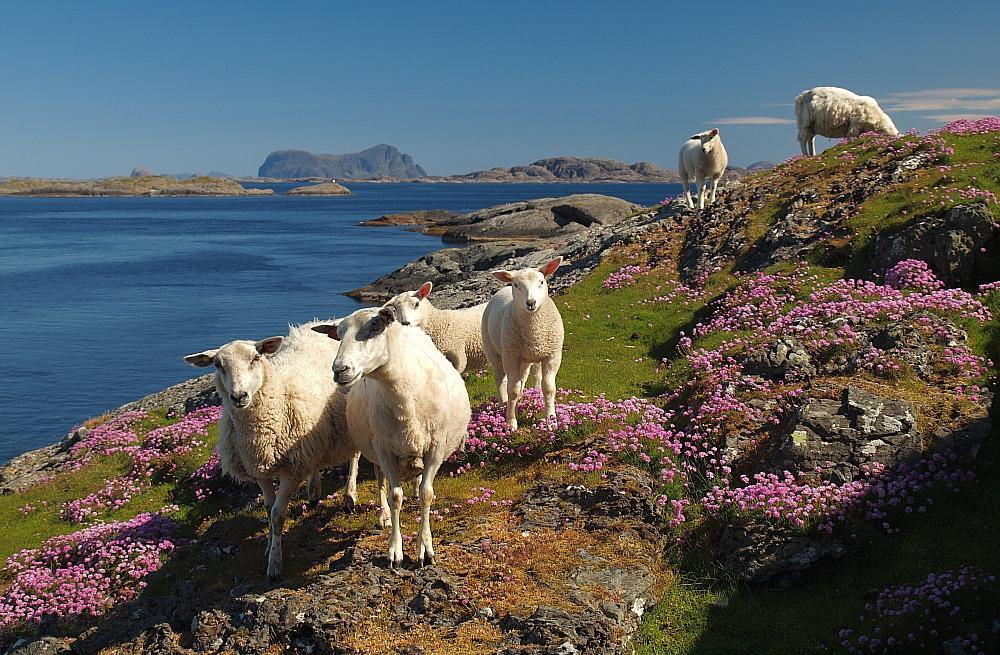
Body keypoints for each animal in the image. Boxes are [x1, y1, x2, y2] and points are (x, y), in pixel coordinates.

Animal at [186, 320, 362, 580]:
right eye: (218, 365)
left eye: (255, 358)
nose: (239, 396)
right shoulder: (257, 468)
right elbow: (268, 509)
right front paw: (269, 545)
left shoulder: (291, 471)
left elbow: (278, 515)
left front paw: (274, 565)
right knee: (314, 463)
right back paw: (313, 490)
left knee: (355, 456)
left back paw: (349, 495)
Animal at [310, 308, 470, 568]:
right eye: (339, 335)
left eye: (375, 326)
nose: (339, 370)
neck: (404, 393)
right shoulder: (384, 450)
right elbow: (395, 496)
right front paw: (395, 550)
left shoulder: (436, 447)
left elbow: (427, 493)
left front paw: (426, 548)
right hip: (375, 447)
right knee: (380, 480)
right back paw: (383, 514)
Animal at [482, 256, 568, 430]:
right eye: (516, 285)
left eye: (541, 281)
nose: (531, 302)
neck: (534, 332)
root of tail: (502, 290)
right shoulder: (510, 356)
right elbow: (512, 390)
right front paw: (510, 422)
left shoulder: (552, 355)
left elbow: (549, 388)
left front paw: (551, 421)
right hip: (495, 351)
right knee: (501, 379)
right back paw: (503, 404)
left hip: (524, 359)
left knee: (523, 378)